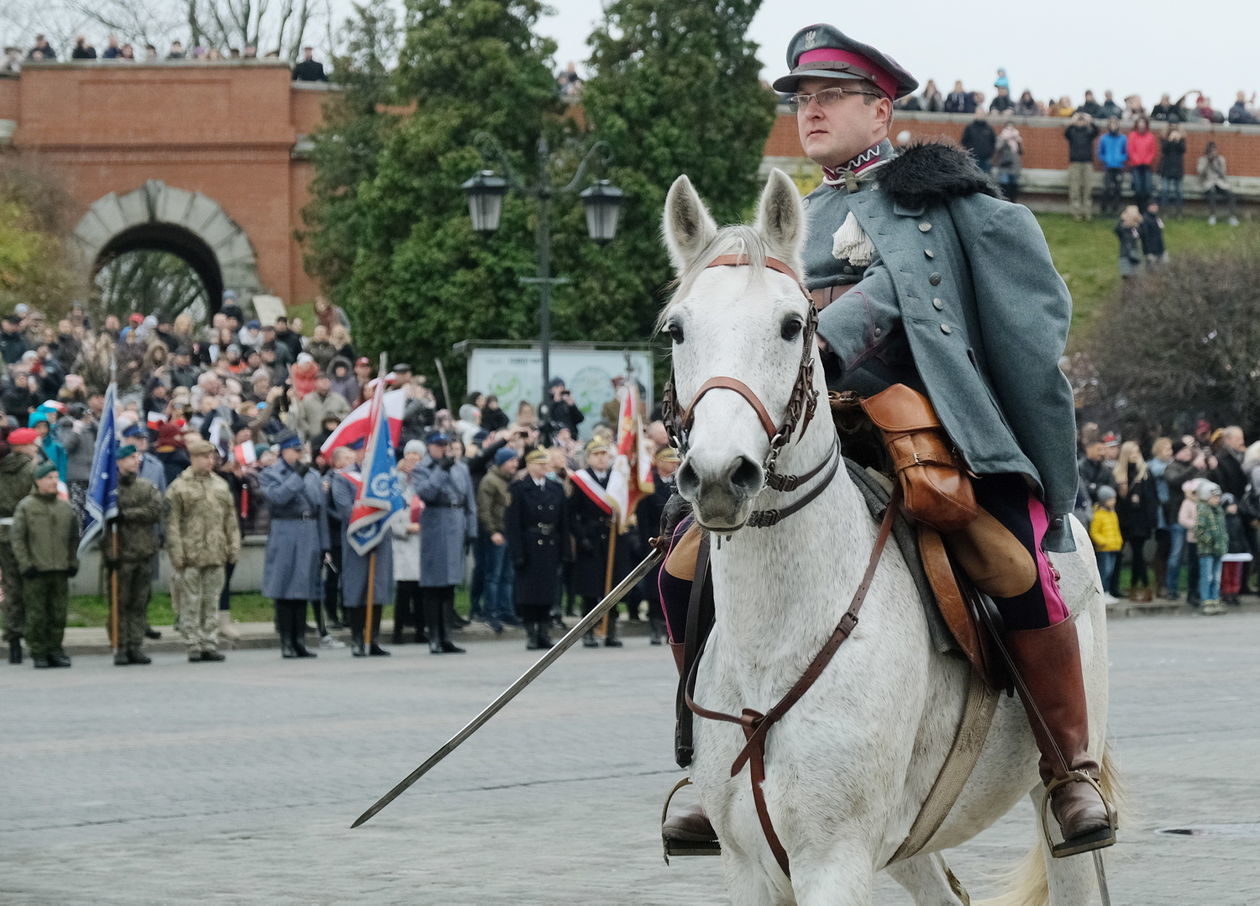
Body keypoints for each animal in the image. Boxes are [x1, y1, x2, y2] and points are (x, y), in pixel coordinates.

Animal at [665, 170, 1118, 906]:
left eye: (792, 326)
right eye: (676, 329)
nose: (717, 475)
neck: (775, 637)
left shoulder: (834, 858)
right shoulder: (751, 865)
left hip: (1055, 804)